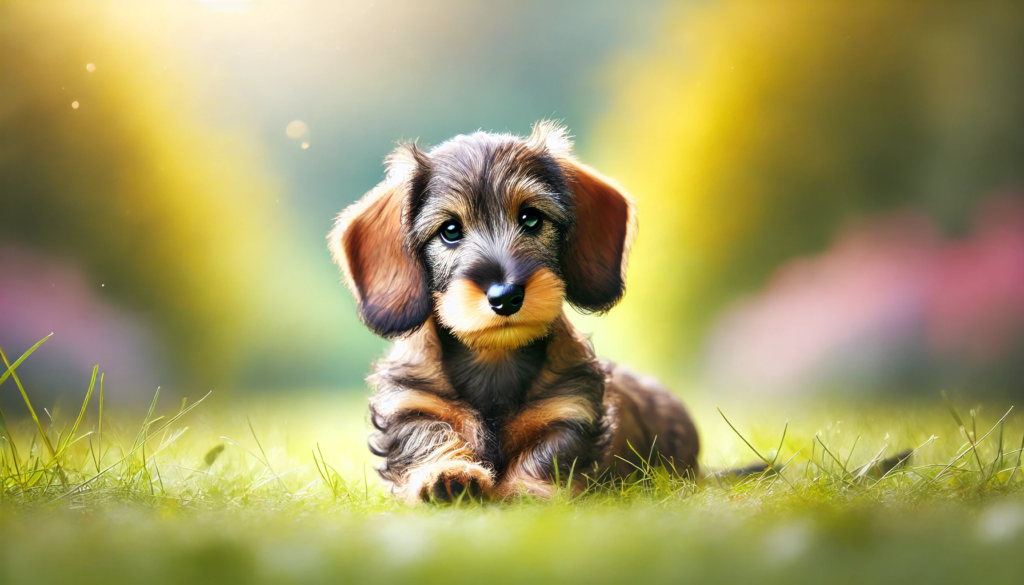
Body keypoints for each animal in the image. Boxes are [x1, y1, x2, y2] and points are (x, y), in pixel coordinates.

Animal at [327, 121, 696, 506]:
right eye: (450, 230)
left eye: (531, 218)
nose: (505, 296)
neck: (494, 360)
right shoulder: (411, 403)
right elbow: (429, 436)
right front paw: (448, 472)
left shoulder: (570, 409)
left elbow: (547, 455)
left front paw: (525, 489)